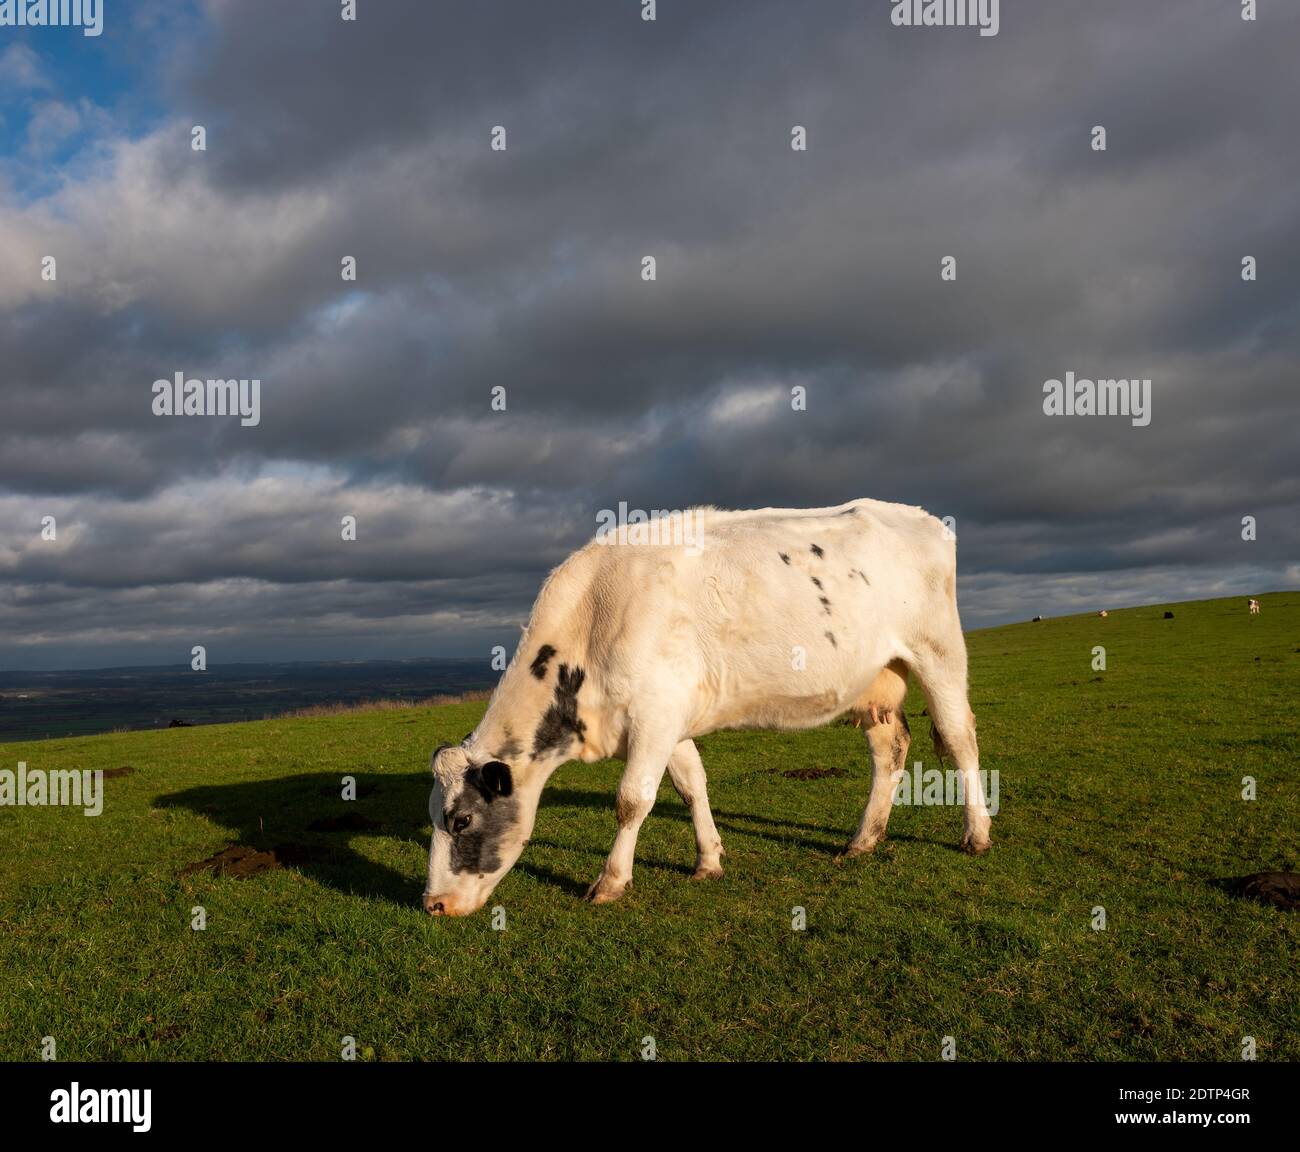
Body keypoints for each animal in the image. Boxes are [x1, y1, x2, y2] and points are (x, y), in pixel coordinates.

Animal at [423, 498, 991, 916]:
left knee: (960, 739)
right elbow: (691, 785)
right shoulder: (668, 719)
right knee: (890, 750)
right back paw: (863, 840)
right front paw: (709, 860)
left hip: (939, 652)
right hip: (875, 681)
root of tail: (917, 515)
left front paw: (611, 882)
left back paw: (977, 833)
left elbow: (632, 800)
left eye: (462, 821)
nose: (433, 905)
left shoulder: (655, 713)